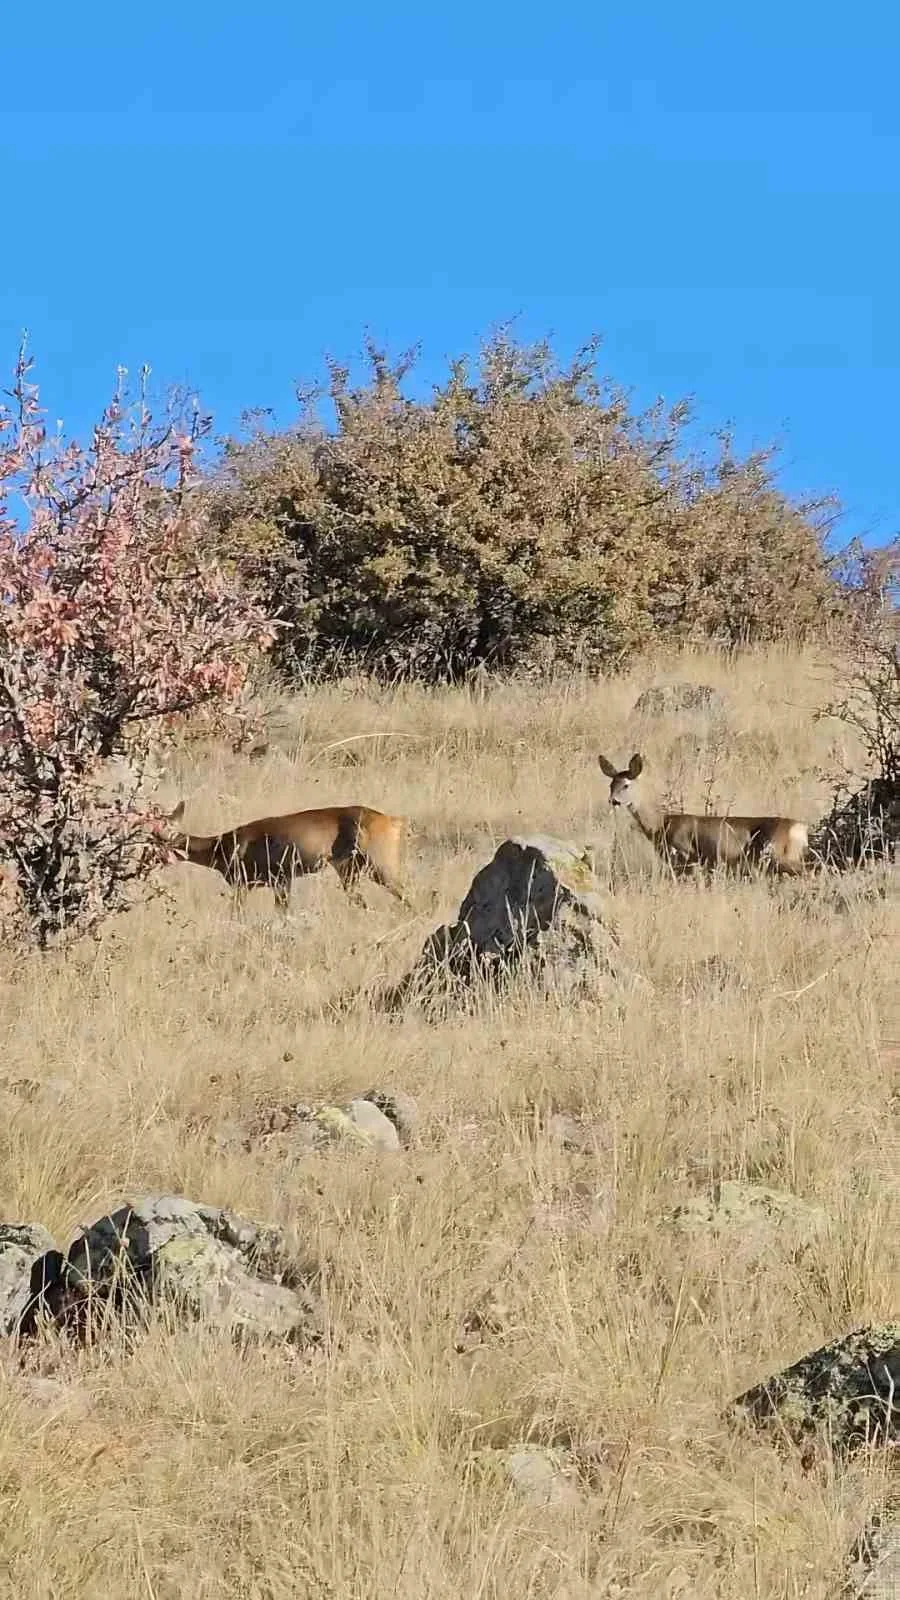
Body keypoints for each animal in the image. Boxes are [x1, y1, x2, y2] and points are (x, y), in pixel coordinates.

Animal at [164, 800, 409, 915]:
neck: (223, 845)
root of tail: (392, 820)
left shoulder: (262, 882)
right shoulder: (279, 883)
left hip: (380, 866)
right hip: (349, 871)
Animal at [595, 752, 807, 876]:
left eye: (626, 785)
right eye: (610, 785)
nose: (613, 801)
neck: (660, 825)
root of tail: (800, 828)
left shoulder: (687, 856)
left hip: (777, 854)